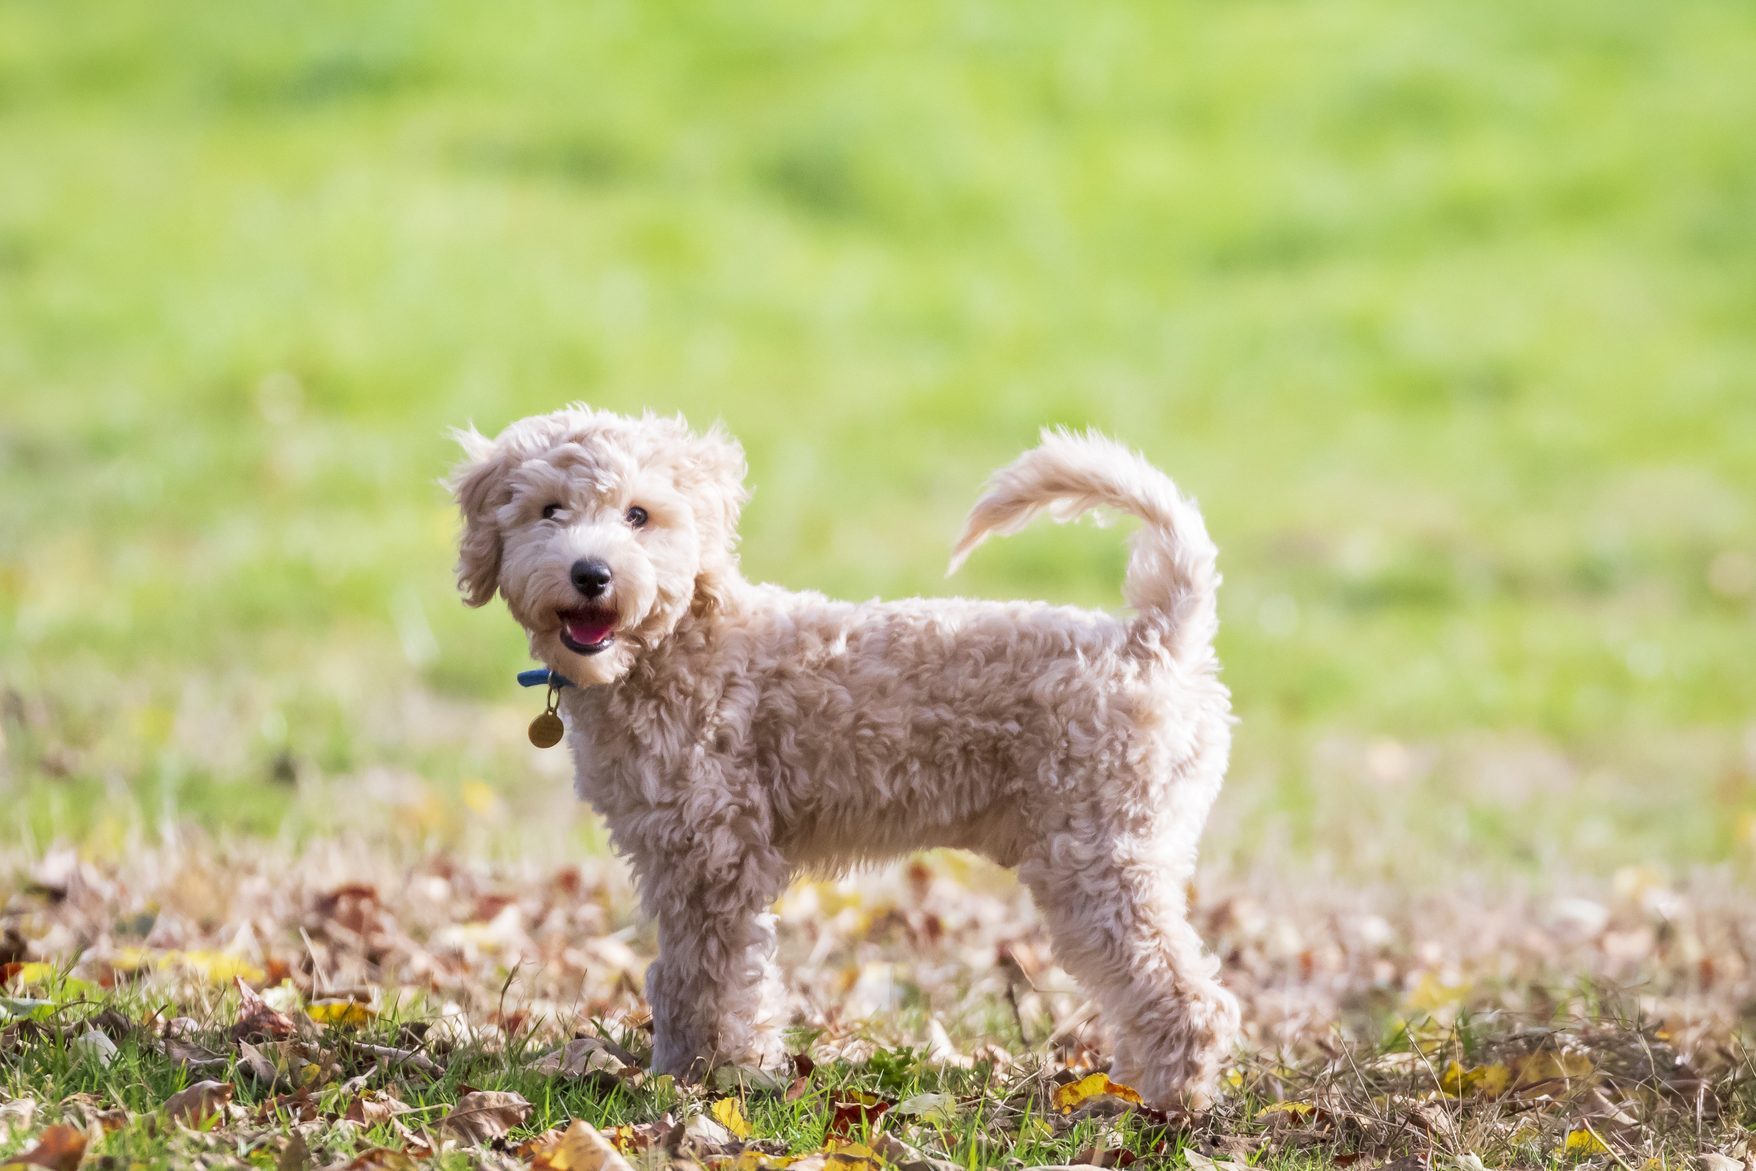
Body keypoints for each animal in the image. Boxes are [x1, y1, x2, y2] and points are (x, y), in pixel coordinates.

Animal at [456, 407, 1250, 1116]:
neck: (677, 641)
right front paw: (700, 1069)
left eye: (638, 515)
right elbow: (690, 973)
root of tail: (1155, 637)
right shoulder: (680, 852)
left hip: (1098, 856)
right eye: (549, 510)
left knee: (1188, 994)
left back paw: (1159, 1105)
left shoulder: (714, 854)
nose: (591, 574)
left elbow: (705, 977)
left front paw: (707, 1077)